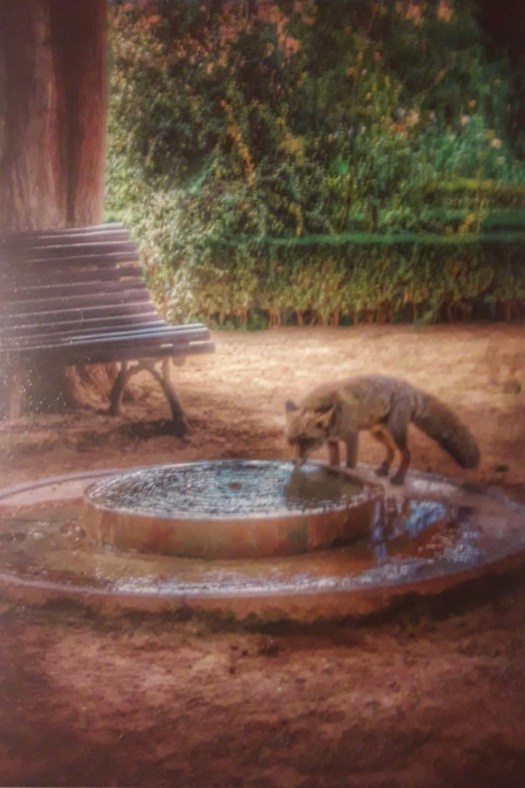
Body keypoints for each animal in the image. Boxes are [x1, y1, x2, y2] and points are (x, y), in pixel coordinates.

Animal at [285, 374, 480, 485]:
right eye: (290, 441)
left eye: (305, 441)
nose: (293, 462)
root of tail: (410, 387)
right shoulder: (332, 441)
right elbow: (334, 465)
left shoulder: (351, 437)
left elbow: (349, 465)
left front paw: (347, 479)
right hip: (377, 432)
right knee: (391, 450)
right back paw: (384, 470)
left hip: (395, 430)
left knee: (406, 454)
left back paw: (399, 479)